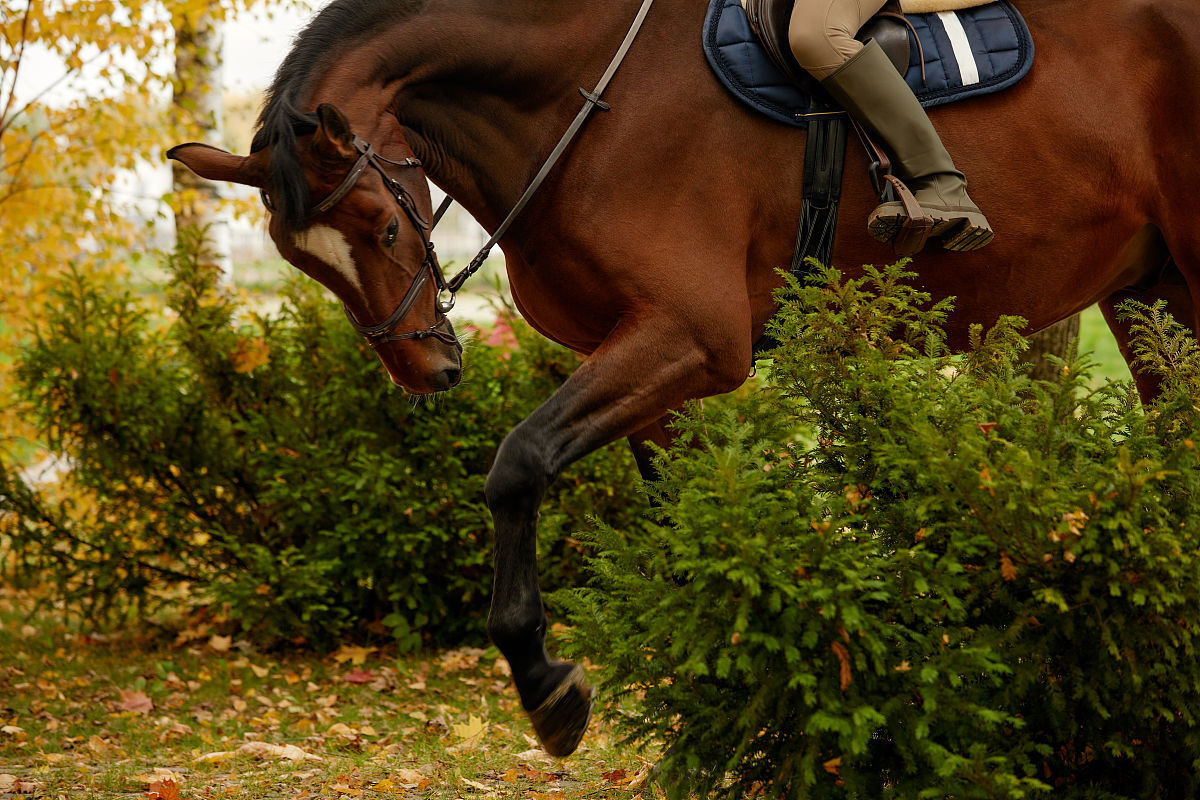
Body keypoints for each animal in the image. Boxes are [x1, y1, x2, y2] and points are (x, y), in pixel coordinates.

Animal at [168, 0, 1200, 757]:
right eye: (302, 264)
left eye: (384, 225)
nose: (427, 365)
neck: (583, 95)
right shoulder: (641, 357)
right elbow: (683, 515)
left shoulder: (694, 335)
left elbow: (518, 463)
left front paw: (545, 682)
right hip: (1152, 292)